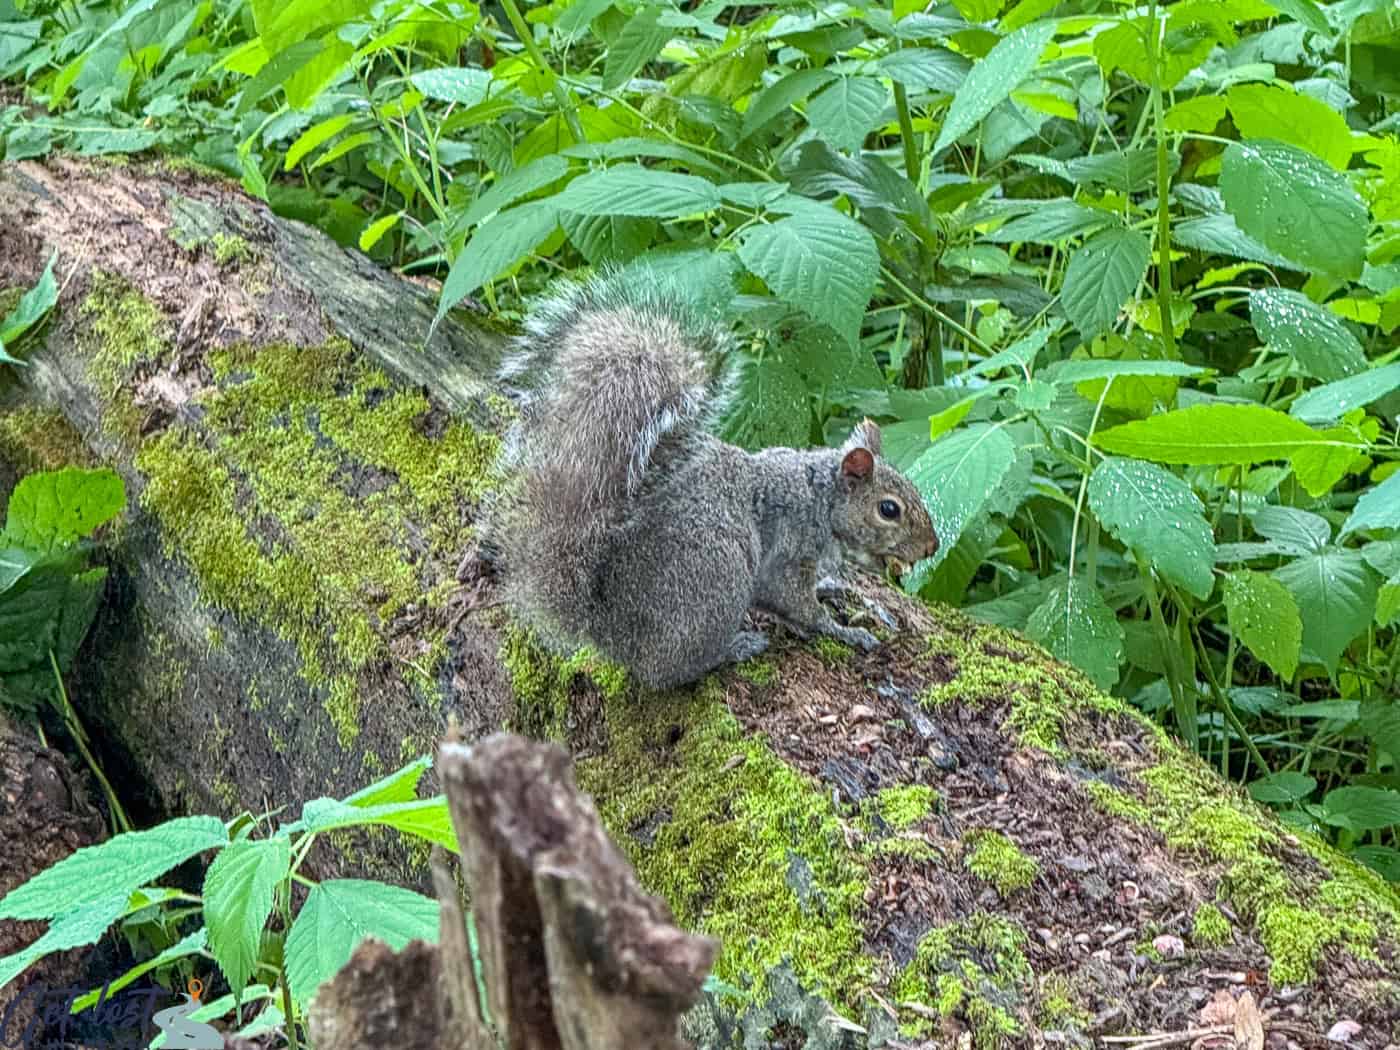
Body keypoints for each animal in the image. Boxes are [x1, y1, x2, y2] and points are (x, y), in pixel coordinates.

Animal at [484, 272, 939, 690]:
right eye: (889, 510)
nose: (931, 547)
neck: (819, 497)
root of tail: (610, 633)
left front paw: (830, 588)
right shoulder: (789, 547)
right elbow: (794, 602)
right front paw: (844, 630)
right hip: (716, 579)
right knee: (667, 673)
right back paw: (734, 648)